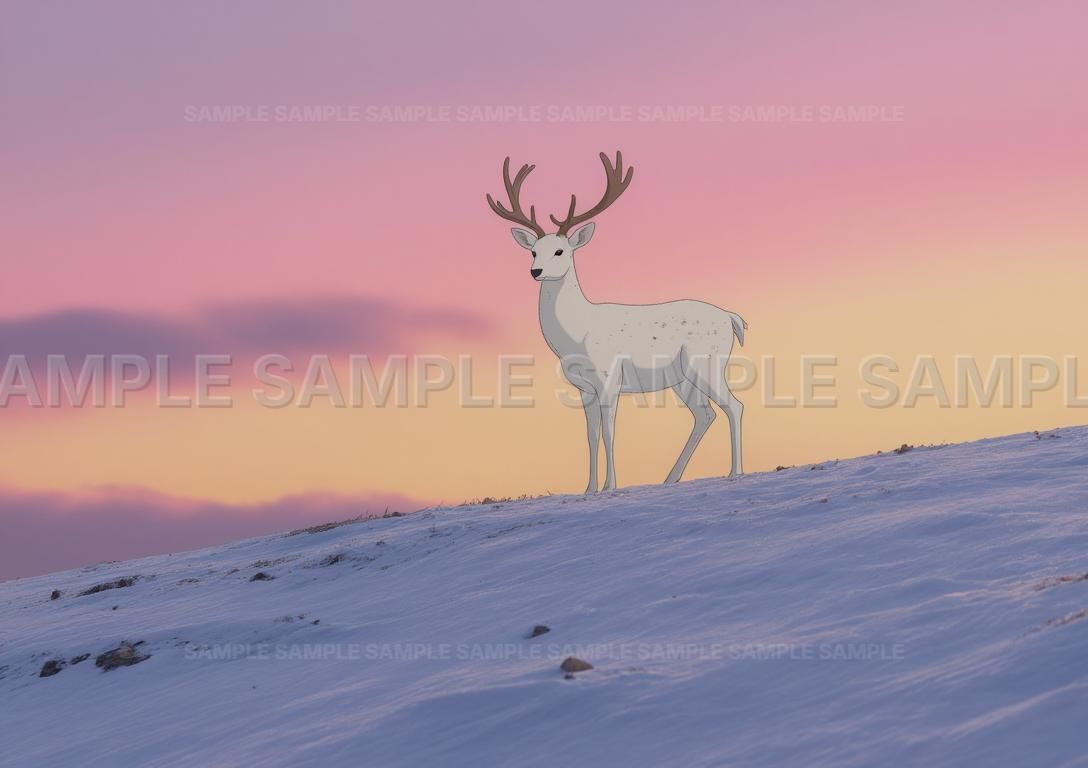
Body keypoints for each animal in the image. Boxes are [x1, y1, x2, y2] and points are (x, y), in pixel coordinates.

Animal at [487, 151, 747, 493]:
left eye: (560, 250)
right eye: (532, 251)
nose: (536, 272)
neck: (576, 336)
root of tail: (731, 317)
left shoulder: (609, 380)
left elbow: (610, 433)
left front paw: (611, 485)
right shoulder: (584, 388)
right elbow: (590, 435)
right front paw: (589, 488)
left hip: (707, 363)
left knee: (734, 406)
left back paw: (735, 472)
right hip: (682, 378)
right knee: (705, 415)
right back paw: (670, 477)